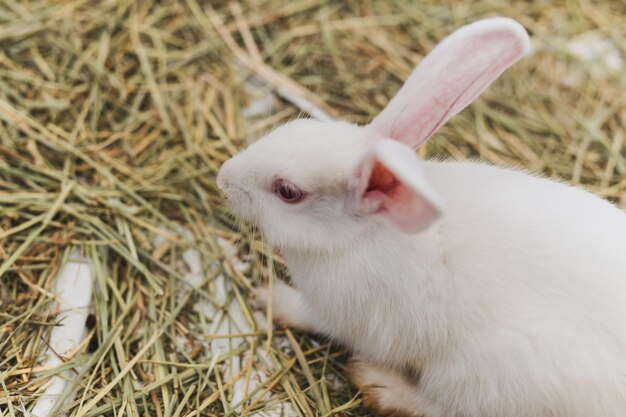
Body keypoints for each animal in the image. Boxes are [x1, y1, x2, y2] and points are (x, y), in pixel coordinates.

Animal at [216, 17, 624, 414]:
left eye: (288, 192)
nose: (223, 177)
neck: (364, 234)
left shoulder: (341, 314)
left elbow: (307, 314)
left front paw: (269, 296)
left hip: (481, 375)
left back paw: (379, 385)